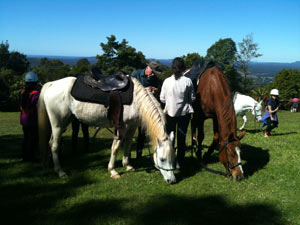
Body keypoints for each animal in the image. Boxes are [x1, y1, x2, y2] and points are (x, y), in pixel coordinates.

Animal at [38, 76, 177, 184]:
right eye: (162, 159)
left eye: (173, 158)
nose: (172, 180)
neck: (136, 101)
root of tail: (52, 84)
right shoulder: (122, 128)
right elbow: (115, 148)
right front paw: (113, 171)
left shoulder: (132, 127)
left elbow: (127, 145)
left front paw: (127, 166)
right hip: (57, 124)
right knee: (54, 145)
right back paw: (60, 172)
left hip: (65, 121)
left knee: (49, 143)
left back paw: (47, 167)